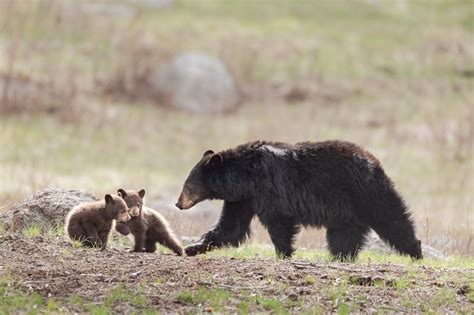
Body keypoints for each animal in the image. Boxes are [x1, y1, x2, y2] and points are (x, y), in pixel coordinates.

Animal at [177, 141, 422, 262]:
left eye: (187, 185)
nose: (178, 204)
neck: (245, 177)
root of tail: (374, 161)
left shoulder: (268, 189)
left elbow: (278, 222)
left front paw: (283, 253)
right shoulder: (243, 199)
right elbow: (230, 226)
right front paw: (192, 247)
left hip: (365, 193)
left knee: (391, 219)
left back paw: (416, 251)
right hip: (345, 211)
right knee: (344, 235)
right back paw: (341, 257)